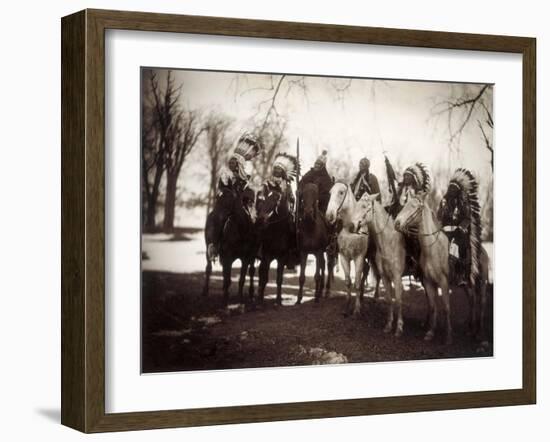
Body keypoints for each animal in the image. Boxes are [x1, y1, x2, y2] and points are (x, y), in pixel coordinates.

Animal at [326, 181, 374, 316]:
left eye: (341, 192)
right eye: (330, 192)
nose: (329, 215)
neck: (351, 229)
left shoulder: (359, 258)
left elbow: (357, 283)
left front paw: (357, 309)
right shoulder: (344, 257)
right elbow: (348, 282)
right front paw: (347, 306)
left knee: (365, 273)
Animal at [354, 193, 410, 334]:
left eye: (365, 206)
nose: (354, 224)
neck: (388, 242)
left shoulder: (397, 277)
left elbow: (398, 301)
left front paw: (399, 327)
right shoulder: (385, 276)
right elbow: (389, 299)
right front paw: (389, 325)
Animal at [396, 192, 492, 344]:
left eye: (414, 207)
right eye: (405, 205)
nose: (397, 223)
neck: (433, 249)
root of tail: (482, 251)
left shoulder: (444, 282)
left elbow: (446, 308)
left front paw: (448, 336)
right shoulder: (428, 282)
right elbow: (432, 306)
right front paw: (430, 332)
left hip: (481, 282)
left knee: (481, 303)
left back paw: (480, 334)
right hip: (467, 284)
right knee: (472, 300)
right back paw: (470, 329)